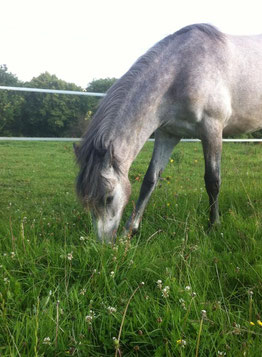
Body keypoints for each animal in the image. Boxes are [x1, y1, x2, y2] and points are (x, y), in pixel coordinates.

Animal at [73, 23, 262, 242]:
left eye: (108, 198)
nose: (104, 244)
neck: (182, 70)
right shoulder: (167, 134)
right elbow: (150, 179)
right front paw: (130, 230)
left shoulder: (212, 129)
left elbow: (213, 180)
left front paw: (214, 226)